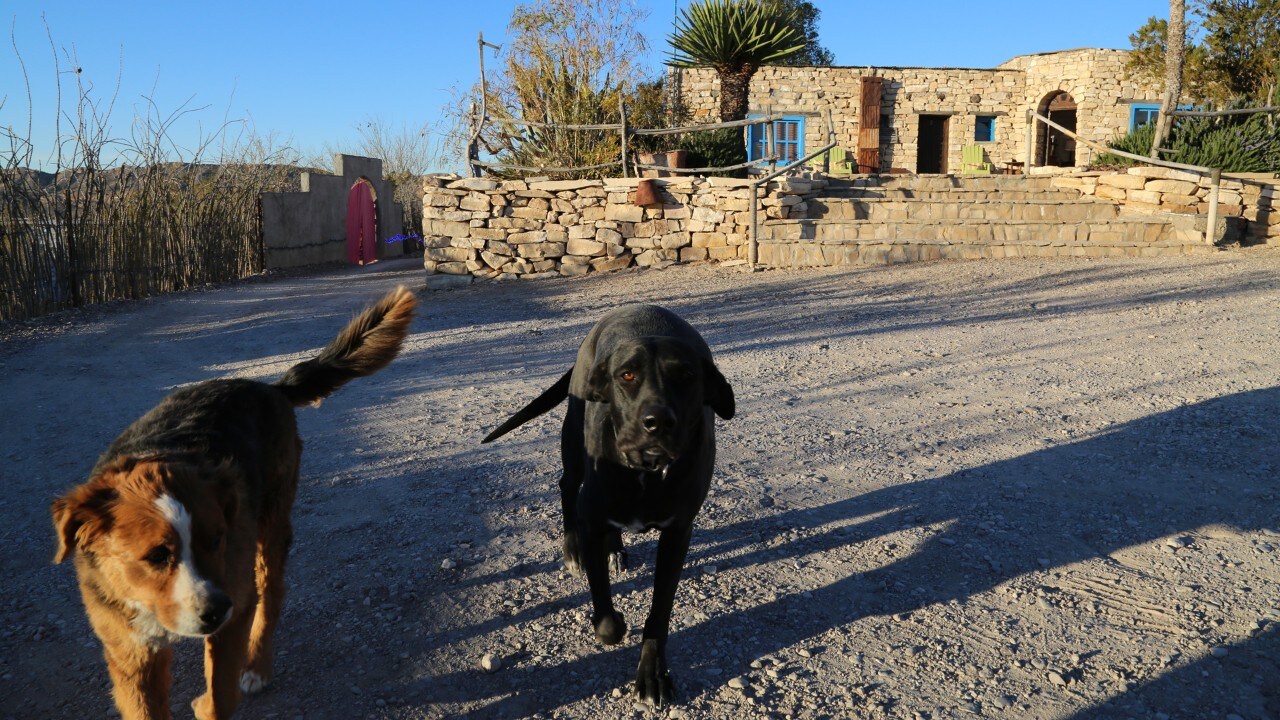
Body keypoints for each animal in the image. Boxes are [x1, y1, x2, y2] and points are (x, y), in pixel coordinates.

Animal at [51, 285, 414, 717]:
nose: (216, 610)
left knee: (269, 594)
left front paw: (210, 701)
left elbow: (220, 696)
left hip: (269, 531)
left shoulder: (230, 613)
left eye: (215, 540)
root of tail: (267, 388)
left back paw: (257, 665)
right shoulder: (132, 652)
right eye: (156, 556)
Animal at [483, 302, 737, 707]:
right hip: (573, 442)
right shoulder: (593, 520)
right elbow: (605, 616)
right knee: (566, 485)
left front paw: (653, 675)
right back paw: (573, 550)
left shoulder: (677, 535)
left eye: (685, 375)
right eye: (627, 376)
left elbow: (660, 612)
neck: (646, 474)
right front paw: (613, 624)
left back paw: (615, 550)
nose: (657, 422)